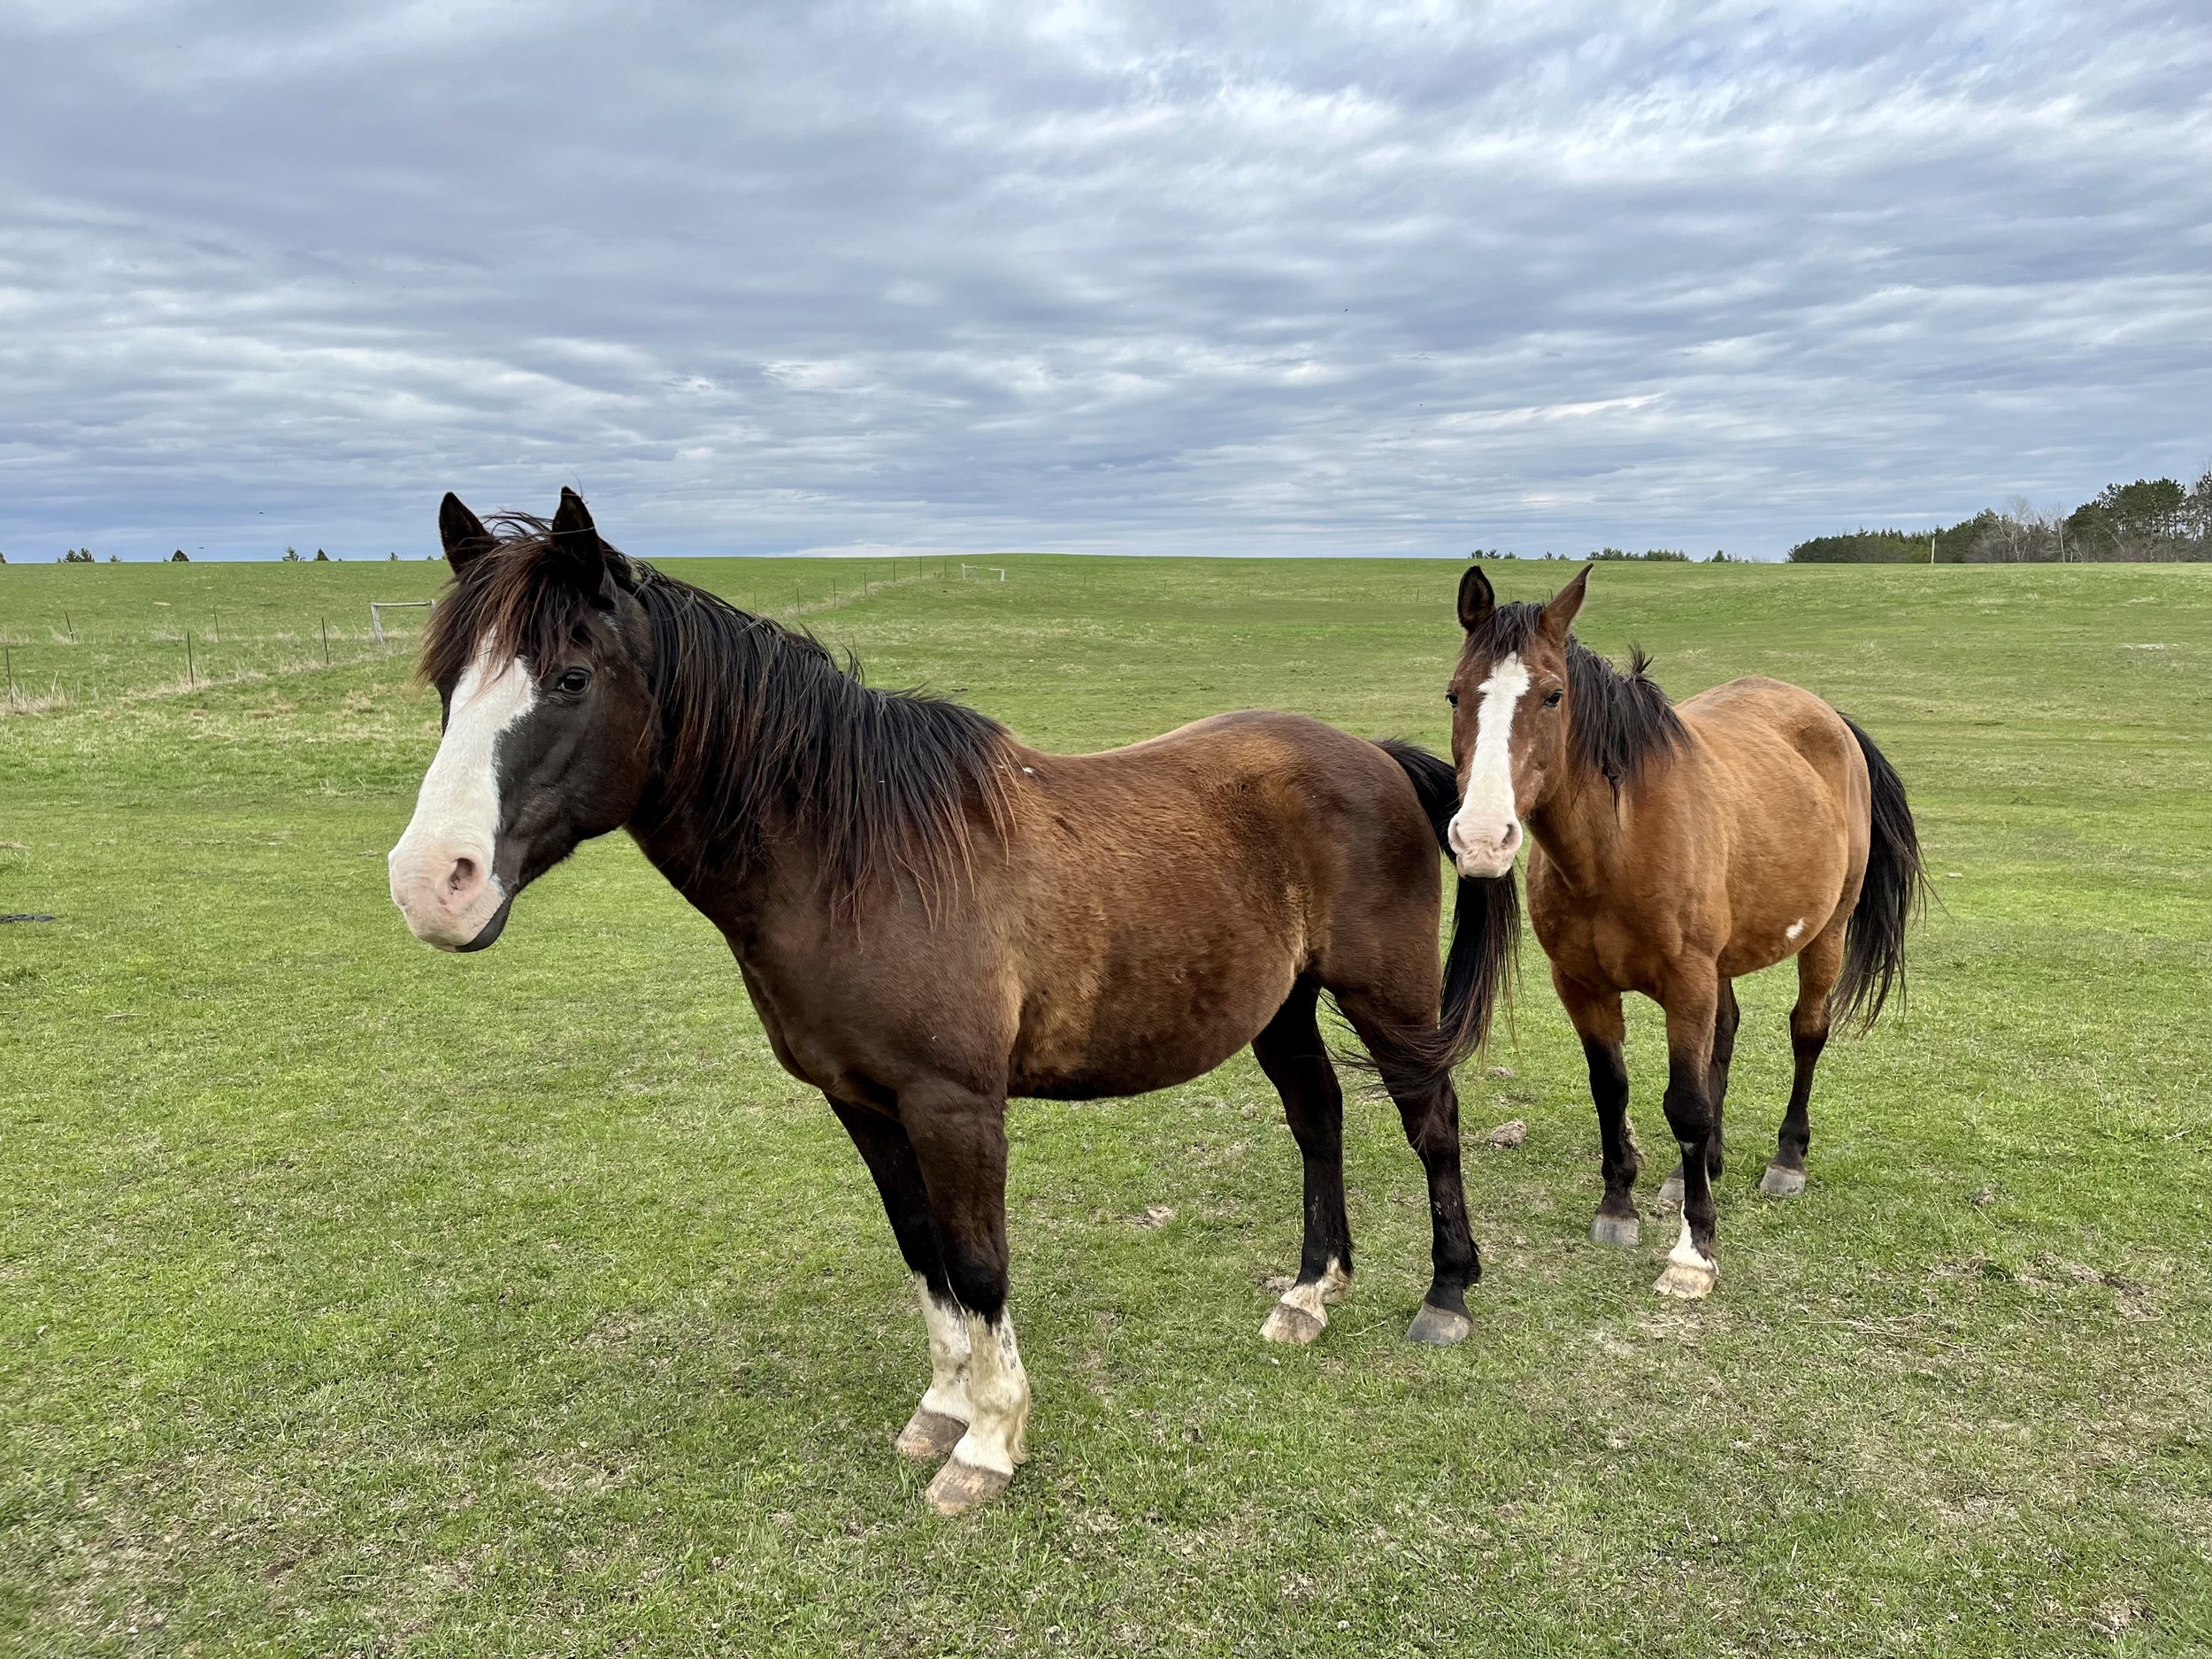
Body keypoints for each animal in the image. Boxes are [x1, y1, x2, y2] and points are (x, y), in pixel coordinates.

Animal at [386, 489, 1514, 1514]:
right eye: (444, 683)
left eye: (570, 679)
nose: (431, 883)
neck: (854, 855)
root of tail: (1371, 755)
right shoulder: (864, 1104)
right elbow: (922, 1252)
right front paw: (941, 1409)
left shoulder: (953, 1106)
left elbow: (976, 1264)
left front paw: (989, 1443)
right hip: (1280, 1006)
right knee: (1317, 1120)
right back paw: (1309, 1295)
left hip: (1384, 995)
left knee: (1430, 1120)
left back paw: (1446, 1293)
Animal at [1433, 563, 1925, 1299]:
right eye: (1455, 693)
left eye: (1552, 695)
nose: (1483, 838)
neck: (1619, 842)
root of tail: (1830, 719)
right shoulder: (1581, 985)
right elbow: (1612, 1089)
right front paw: (1619, 1205)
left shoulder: (1687, 980)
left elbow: (1686, 1104)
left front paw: (1695, 1251)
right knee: (1725, 1034)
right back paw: (1699, 1168)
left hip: (1826, 934)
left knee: (1807, 1033)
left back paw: (1787, 1159)